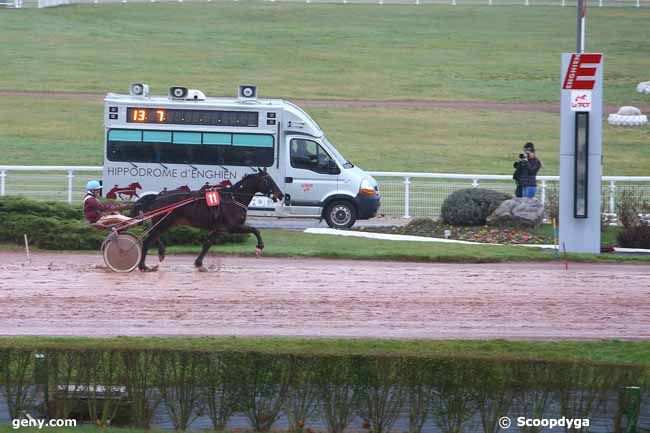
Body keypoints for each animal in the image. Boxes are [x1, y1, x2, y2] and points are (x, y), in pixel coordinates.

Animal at [130, 169, 282, 270]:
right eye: (268, 180)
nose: (280, 194)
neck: (234, 198)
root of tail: (158, 196)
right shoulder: (233, 227)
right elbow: (256, 230)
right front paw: (259, 247)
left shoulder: (220, 229)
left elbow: (207, 244)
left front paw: (199, 264)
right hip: (164, 222)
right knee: (148, 239)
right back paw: (143, 266)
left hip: (165, 222)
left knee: (152, 236)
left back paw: (160, 253)